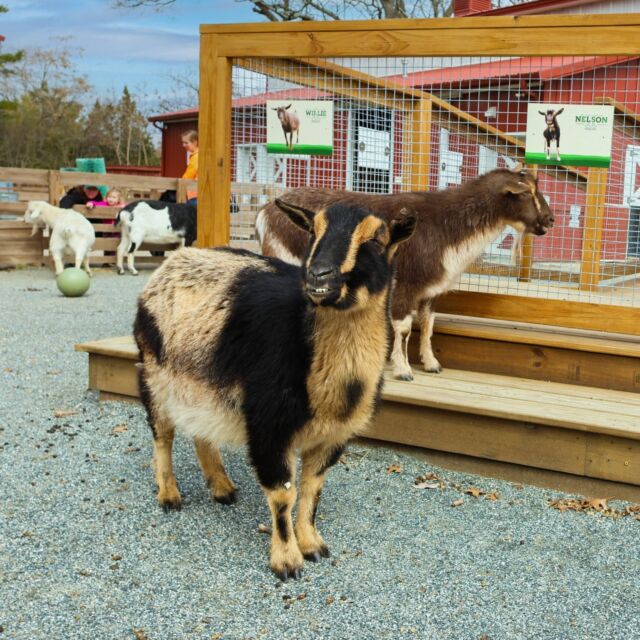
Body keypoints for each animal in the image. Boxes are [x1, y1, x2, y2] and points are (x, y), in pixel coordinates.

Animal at [134, 199, 416, 580]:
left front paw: (312, 545)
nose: (318, 276)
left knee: (200, 429)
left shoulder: (334, 435)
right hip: (154, 371)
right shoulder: (268, 425)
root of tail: (169, 265)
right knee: (162, 434)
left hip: (200, 379)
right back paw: (169, 495)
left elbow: (312, 489)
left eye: (377, 238)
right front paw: (286, 561)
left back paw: (222, 488)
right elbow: (284, 493)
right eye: (312, 231)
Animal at [255, 168, 556, 382]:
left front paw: (431, 364)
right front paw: (403, 370)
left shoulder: (431, 291)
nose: (550, 220)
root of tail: (265, 211)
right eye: (526, 193)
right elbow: (403, 329)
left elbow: (427, 326)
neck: (447, 226)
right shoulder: (406, 286)